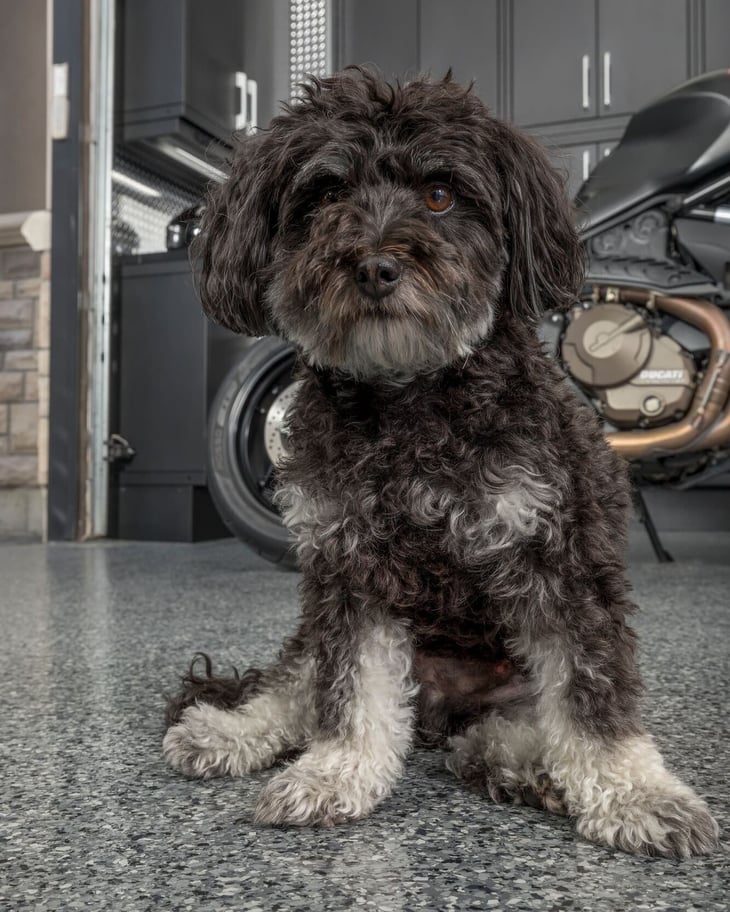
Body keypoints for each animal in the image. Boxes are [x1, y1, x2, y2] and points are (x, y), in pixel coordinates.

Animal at [164, 69, 716, 856]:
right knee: (296, 683)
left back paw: (535, 771)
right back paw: (228, 732)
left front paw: (635, 794)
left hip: (509, 688)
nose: (374, 265)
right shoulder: (349, 568)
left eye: (440, 195)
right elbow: (347, 691)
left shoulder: (560, 557)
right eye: (324, 196)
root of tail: (442, 709)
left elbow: (593, 696)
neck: (412, 402)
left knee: (500, 734)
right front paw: (334, 773)